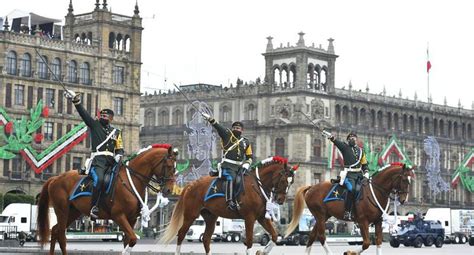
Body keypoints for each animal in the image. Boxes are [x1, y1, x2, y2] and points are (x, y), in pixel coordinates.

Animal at [36, 144, 178, 254]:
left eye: (175, 168)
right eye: (169, 166)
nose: (169, 190)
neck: (131, 180)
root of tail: (56, 178)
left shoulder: (131, 219)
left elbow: (128, 241)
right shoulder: (118, 216)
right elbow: (132, 239)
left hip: (74, 212)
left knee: (55, 231)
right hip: (62, 210)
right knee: (61, 236)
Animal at [161, 156, 296, 254]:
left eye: (291, 182)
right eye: (283, 180)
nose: (280, 199)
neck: (257, 185)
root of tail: (191, 185)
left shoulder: (261, 217)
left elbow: (274, 236)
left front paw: (262, 251)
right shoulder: (249, 218)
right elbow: (250, 241)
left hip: (210, 217)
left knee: (206, 239)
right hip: (191, 215)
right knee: (181, 234)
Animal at [286, 163, 414, 255]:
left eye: (410, 181)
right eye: (404, 180)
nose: (403, 200)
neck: (375, 192)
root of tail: (312, 187)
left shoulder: (378, 221)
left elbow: (378, 242)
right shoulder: (363, 221)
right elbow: (366, 243)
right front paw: (349, 252)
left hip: (323, 216)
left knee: (312, 236)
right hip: (320, 215)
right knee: (321, 236)